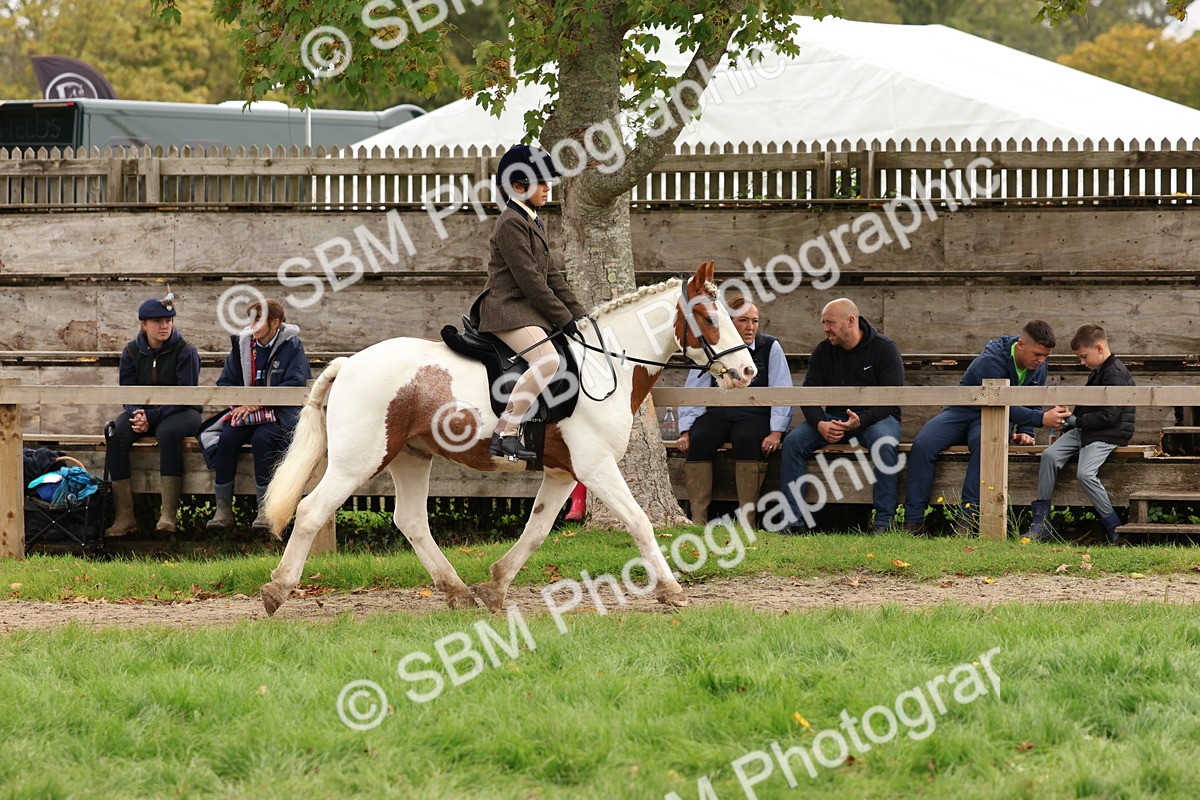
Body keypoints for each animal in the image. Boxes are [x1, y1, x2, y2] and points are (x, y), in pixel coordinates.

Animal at [259, 260, 758, 616]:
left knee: (412, 521)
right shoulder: (596, 467)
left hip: (410, 457)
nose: (746, 371)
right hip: (358, 460)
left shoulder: (562, 473)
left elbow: (536, 530)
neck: (605, 363)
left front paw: (496, 586)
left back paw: (458, 592)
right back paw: (277, 591)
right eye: (706, 316)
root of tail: (349, 363)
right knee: (311, 511)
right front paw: (672, 590)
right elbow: (639, 522)